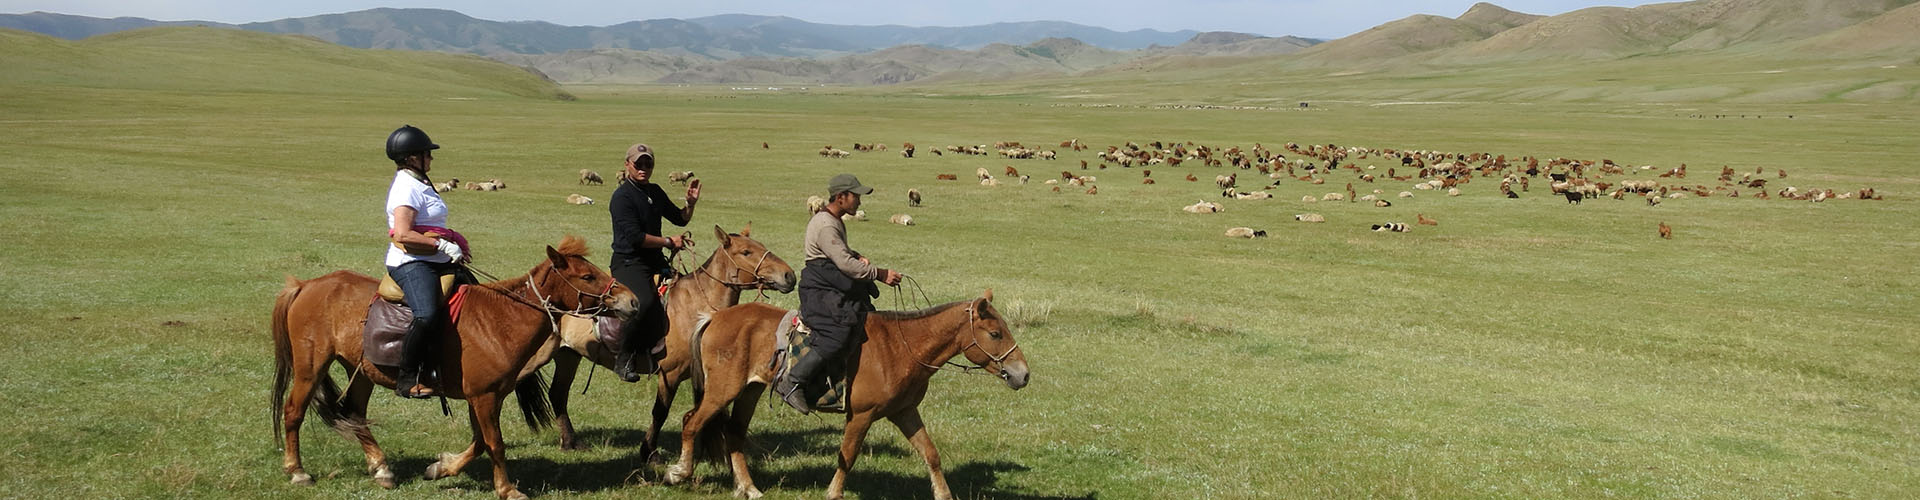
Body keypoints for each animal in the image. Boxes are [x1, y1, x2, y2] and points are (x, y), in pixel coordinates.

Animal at [272, 235, 637, 500]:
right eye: (588, 276)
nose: (632, 301)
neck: (500, 319)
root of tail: (305, 285)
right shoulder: (484, 397)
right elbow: (495, 444)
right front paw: (507, 490)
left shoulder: (486, 396)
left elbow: (480, 443)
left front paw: (441, 468)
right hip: (311, 367)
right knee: (293, 412)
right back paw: (297, 471)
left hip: (361, 372)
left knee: (356, 414)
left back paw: (381, 468)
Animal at [533, 226, 794, 453]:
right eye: (746, 252)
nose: (789, 275)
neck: (695, 307)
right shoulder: (670, 374)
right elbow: (660, 413)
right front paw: (649, 453)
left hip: (569, 355)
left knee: (558, 394)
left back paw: (570, 442)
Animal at [675, 290, 1036, 496]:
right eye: (995, 333)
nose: (1023, 374)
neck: (902, 346)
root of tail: (715, 317)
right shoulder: (861, 416)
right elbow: (846, 457)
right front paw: (833, 494)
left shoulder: (904, 412)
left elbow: (930, 454)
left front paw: (943, 494)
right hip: (723, 390)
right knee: (691, 422)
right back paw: (679, 472)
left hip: (748, 391)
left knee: (734, 434)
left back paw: (749, 489)